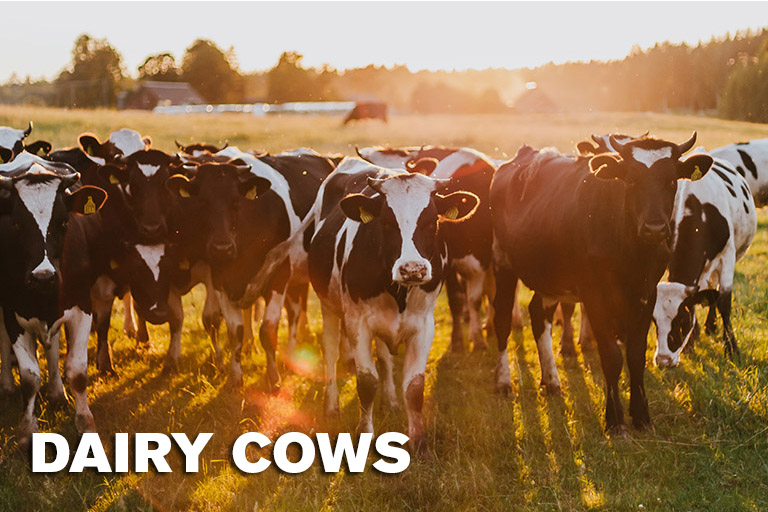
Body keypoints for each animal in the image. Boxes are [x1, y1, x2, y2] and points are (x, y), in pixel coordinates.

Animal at [0, 154, 107, 449]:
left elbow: (78, 371)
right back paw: (7, 386)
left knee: (53, 343)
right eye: (16, 224)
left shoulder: (82, 306)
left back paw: (57, 392)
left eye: (63, 221)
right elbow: (30, 377)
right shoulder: (13, 312)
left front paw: (86, 423)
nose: (43, 276)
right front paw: (27, 431)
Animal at [307, 156, 479, 451]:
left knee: (386, 359)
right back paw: (331, 406)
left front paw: (419, 442)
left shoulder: (423, 324)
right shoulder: (357, 323)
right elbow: (366, 382)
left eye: (431, 220)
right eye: (387, 221)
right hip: (328, 306)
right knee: (329, 351)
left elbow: (414, 386)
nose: (413, 269)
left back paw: (391, 401)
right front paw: (364, 433)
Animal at [357, 145, 518, 351]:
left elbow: (475, 299)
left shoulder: (481, 260)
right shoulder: (447, 265)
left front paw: (478, 339)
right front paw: (457, 340)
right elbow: (457, 300)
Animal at [491, 133, 713, 432]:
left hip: (550, 277)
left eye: (671, 181)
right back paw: (504, 381)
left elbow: (636, 355)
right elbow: (611, 356)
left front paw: (641, 416)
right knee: (502, 321)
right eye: (631, 180)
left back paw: (551, 379)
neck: (631, 252)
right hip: (502, 262)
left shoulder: (646, 294)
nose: (654, 228)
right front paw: (615, 419)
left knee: (538, 315)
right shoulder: (595, 295)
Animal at [653, 155, 756, 366]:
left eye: (682, 321)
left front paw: (731, 349)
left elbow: (724, 302)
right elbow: (697, 298)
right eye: (655, 322)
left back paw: (711, 326)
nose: (663, 360)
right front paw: (691, 344)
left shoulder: (727, 257)